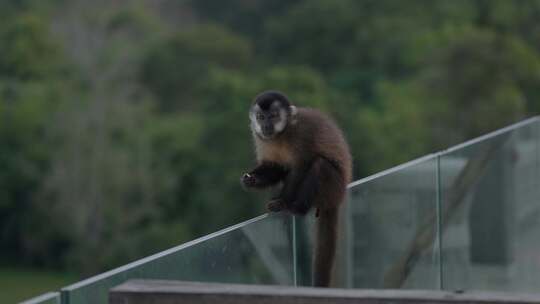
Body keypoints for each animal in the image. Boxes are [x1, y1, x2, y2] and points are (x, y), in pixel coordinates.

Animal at [242, 90, 352, 288]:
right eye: (261, 117)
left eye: (273, 115)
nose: (266, 125)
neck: (281, 134)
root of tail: (338, 197)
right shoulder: (259, 137)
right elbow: (275, 167)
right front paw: (251, 180)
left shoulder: (302, 135)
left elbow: (301, 168)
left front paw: (282, 202)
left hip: (332, 188)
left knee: (319, 166)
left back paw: (297, 208)